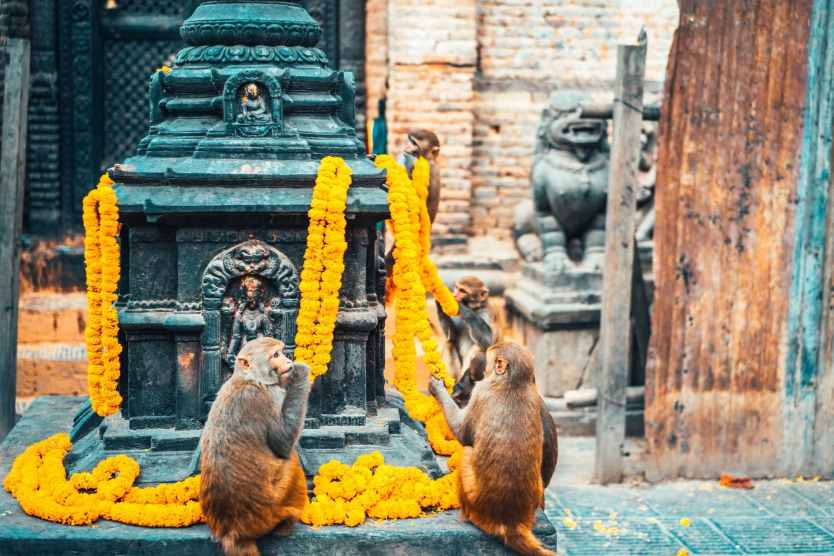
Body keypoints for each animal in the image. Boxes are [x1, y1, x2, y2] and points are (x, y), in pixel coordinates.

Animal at [199, 337, 311, 556]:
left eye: (281, 352)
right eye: (276, 355)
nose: (288, 361)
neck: (249, 379)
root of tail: (231, 532)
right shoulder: (271, 396)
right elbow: (282, 443)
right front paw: (300, 372)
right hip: (272, 510)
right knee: (291, 461)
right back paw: (286, 525)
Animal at [429, 342, 558, 556]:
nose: (459, 388)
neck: (513, 383)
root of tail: (509, 523)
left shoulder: (481, 390)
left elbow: (462, 433)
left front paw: (437, 388)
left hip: (473, 500)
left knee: (467, 452)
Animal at [436, 276, 503, 406]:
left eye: (462, 291)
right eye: (456, 288)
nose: (454, 295)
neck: (476, 308)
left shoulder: (487, 313)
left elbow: (488, 342)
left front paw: (462, 307)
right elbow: (452, 336)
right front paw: (440, 304)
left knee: (479, 350)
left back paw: (462, 390)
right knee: (449, 343)